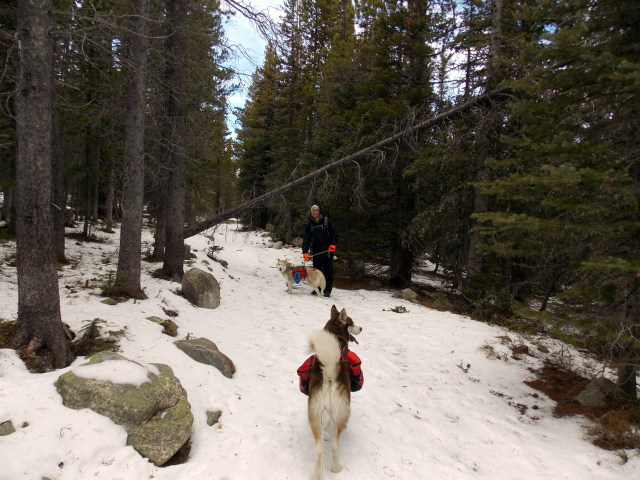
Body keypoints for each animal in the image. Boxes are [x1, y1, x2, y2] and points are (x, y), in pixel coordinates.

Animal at [298, 306, 362, 480]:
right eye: (352, 322)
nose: (361, 328)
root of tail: (329, 376)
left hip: (315, 413)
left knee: (319, 451)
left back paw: (317, 475)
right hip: (341, 414)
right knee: (334, 445)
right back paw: (336, 468)